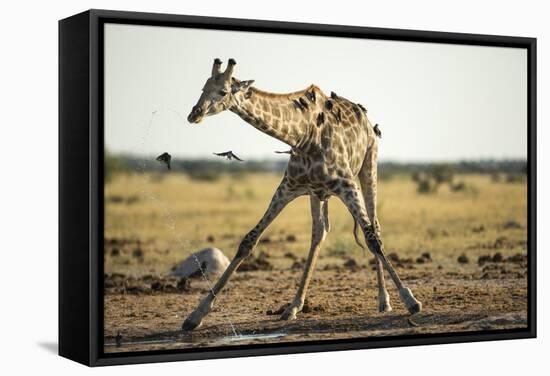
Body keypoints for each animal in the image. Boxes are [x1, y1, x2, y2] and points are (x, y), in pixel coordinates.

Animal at [183, 57, 424, 330]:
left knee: (375, 227)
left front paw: (411, 300)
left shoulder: (346, 185)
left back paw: (384, 301)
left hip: (368, 167)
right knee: (320, 232)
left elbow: (372, 238)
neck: (303, 137)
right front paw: (196, 315)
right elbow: (248, 241)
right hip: (317, 193)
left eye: (223, 91)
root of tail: (366, 119)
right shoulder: (288, 186)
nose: (194, 114)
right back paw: (294, 306)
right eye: (203, 87)